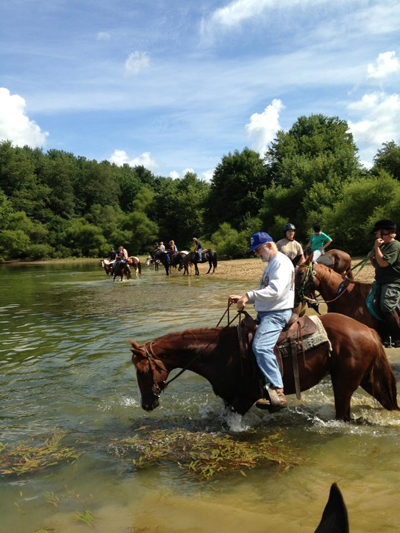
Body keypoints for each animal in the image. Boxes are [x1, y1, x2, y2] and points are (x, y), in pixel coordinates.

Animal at [130, 312, 396, 420]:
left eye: (142, 372)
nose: (146, 405)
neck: (217, 353)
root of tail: (368, 330)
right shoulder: (229, 398)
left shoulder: (244, 398)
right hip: (368, 380)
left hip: (344, 385)